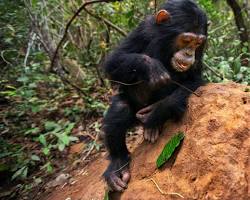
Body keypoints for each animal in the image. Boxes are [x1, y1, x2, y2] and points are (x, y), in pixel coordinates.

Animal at [101, 0, 207, 191]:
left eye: (198, 43)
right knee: (121, 108)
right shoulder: (143, 30)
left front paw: (159, 110)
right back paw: (117, 167)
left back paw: (153, 126)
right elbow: (113, 61)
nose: (189, 53)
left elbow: (195, 79)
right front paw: (152, 67)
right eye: (186, 40)